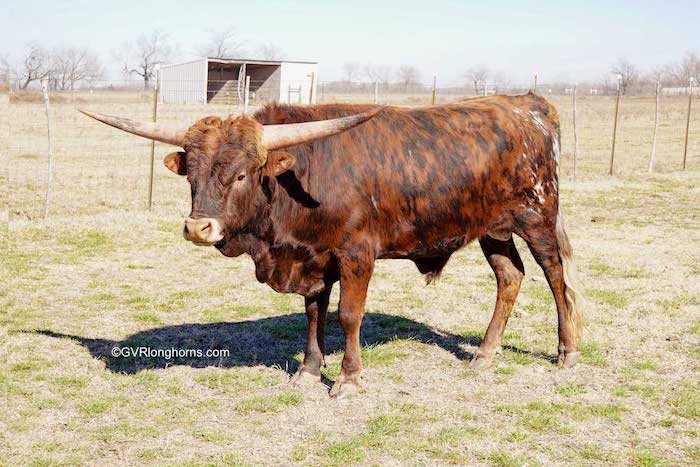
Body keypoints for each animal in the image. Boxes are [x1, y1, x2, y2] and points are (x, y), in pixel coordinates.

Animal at [80, 93, 584, 400]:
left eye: (242, 174)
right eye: (191, 174)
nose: (198, 227)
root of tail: (527, 104)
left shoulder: (356, 254)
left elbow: (349, 314)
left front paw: (347, 378)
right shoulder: (313, 259)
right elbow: (313, 313)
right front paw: (308, 370)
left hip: (538, 217)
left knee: (556, 278)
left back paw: (568, 352)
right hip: (493, 230)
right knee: (510, 277)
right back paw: (484, 353)